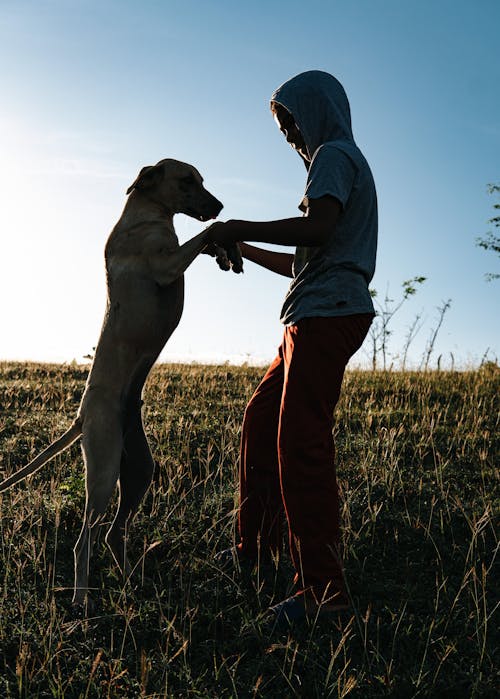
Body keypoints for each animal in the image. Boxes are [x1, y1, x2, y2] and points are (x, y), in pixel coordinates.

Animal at [0, 157, 242, 608]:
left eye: (201, 180)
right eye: (187, 180)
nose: (218, 204)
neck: (147, 215)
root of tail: (81, 416)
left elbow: (208, 240)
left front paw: (229, 252)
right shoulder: (166, 265)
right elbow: (204, 235)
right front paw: (224, 236)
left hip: (140, 470)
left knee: (114, 533)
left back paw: (133, 583)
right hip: (104, 471)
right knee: (85, 540)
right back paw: (81, 600)